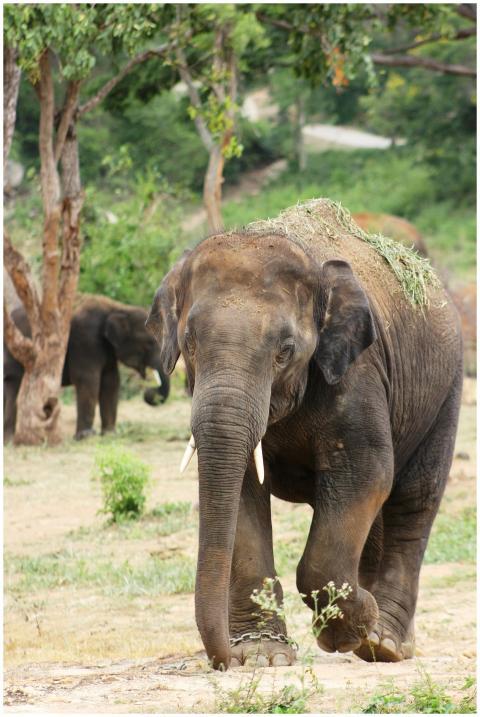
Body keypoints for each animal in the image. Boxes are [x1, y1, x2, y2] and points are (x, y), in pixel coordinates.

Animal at [4, 294, 169, 442]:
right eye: (149, 343)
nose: (149, 391)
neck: (117, 308)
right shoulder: (86, 340)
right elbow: (88, 381)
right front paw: (85, 436)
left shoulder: (107, 349)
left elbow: (111, 382)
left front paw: (109, 434)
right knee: (14, 383)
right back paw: (11, 439)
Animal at [146, 199, 462, 671]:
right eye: (190, 344)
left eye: (285, 351)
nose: (223, 661)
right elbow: (243, 490)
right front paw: (262, 657)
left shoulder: (357, 373)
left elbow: (365, 475)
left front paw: (349, 628)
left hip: (446, 389)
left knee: (414, 499)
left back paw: (384, 642)